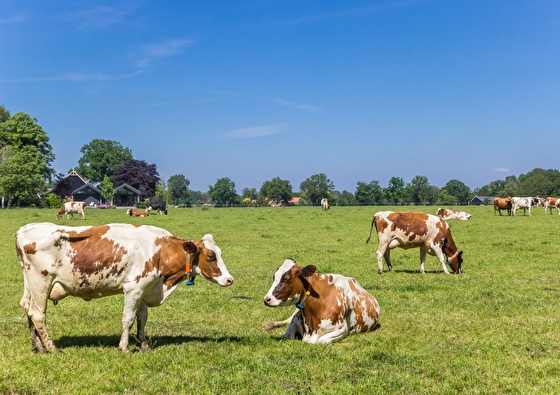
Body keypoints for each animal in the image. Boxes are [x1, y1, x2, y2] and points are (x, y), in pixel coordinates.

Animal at [15, 224, 234, 354]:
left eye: (220, 253)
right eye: (211, 256)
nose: (229, 279)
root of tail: (24, 230)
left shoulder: (146, 289)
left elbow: (142, 319)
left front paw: (143, 344)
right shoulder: (134, 289)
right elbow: (127, 319)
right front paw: (125, 348)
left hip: (31, 285)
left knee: (27, 309)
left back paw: (37, 347)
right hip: (41, 282)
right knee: (38, 314)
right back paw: (52, 349)